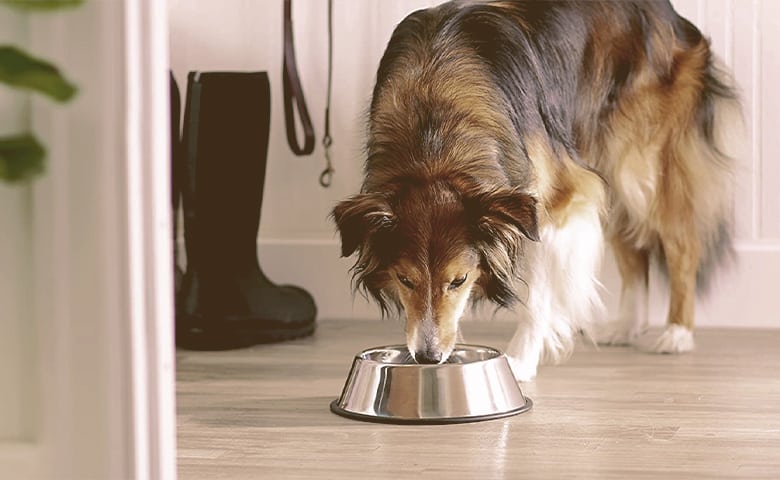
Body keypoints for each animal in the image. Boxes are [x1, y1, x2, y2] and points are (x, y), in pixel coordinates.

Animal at [330, 0, 736, 382]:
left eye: (459, 280)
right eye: (405, 279)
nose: (428, 357)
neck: (434, 128)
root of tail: (669, 13)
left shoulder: (551, 203)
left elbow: (538, 296)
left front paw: (520, 360)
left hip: (638, 165)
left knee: (681, 242)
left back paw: (676, 333)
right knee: (631, 247)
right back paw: (626, 327)